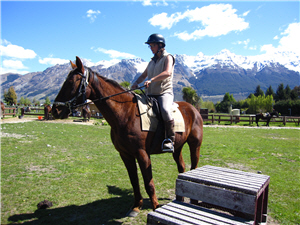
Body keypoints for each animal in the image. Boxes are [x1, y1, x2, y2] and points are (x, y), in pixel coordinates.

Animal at [51, 56, 204, 216]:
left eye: (71, 82)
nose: (55, 110)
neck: (126, 113)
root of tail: (193, 109)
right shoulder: (125, 154)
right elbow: (134, 181)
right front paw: (136, 206)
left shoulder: (142, 154)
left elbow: (149, 183)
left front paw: (155, 207)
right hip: (177, 147)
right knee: (181, 167)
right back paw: (179, 198)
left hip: (195, 145)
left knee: (194, 167)